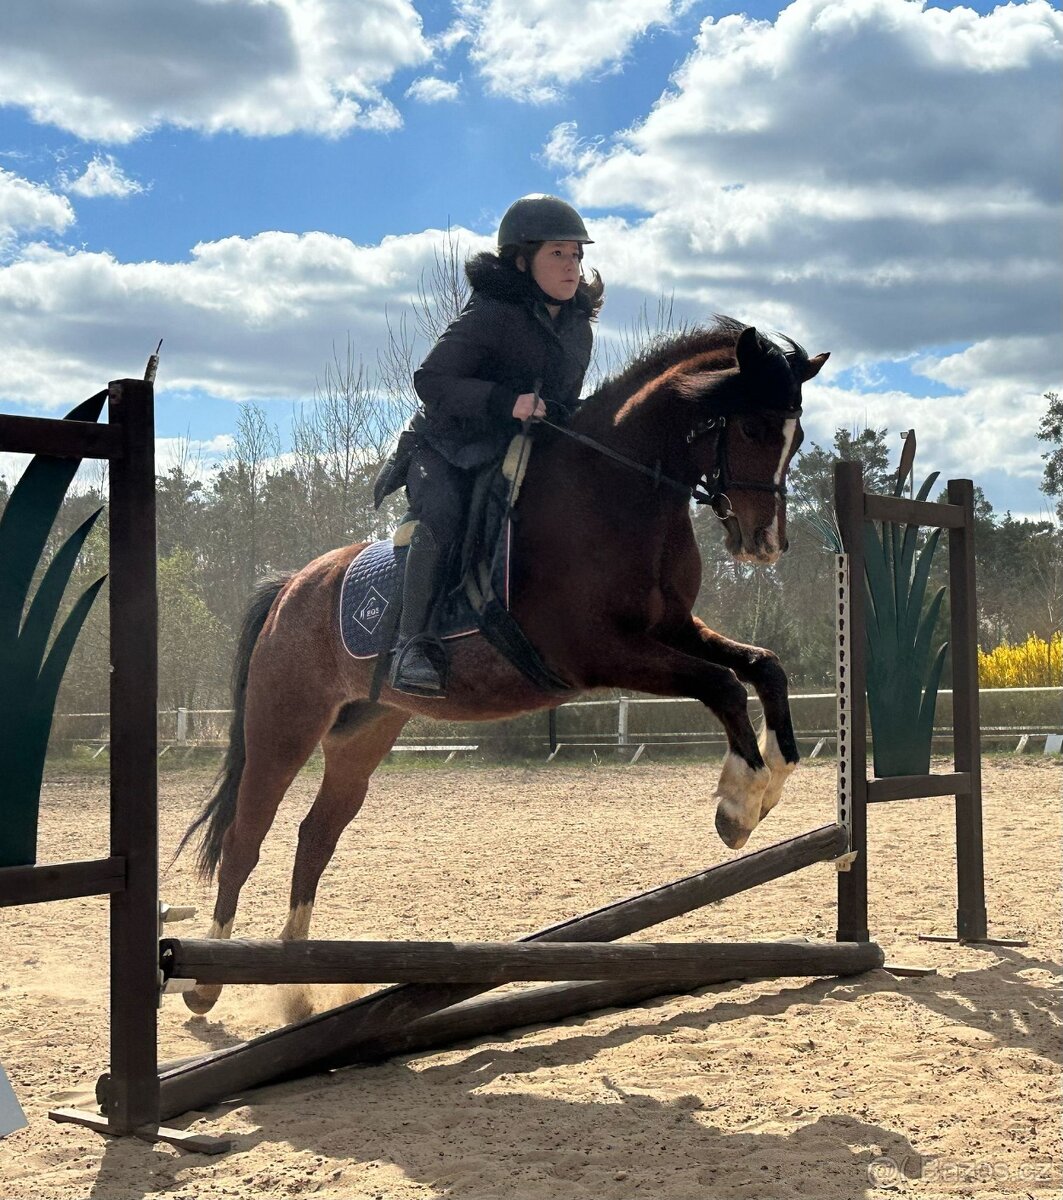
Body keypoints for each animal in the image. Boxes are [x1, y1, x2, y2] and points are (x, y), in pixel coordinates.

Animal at [179, 316, 829, 1015]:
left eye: (796, 439)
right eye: (754, 429)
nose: (765, 545)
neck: (617, 491)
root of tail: (290, 588)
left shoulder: (672, 630)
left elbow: (764, 668)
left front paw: (771, 780)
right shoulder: (602, 651)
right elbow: (724, 685)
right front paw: (739, 804)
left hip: (361, 735)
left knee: (315, 836)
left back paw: (295, 982)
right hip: (284, 728)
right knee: (246, 837)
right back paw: (206, 982)